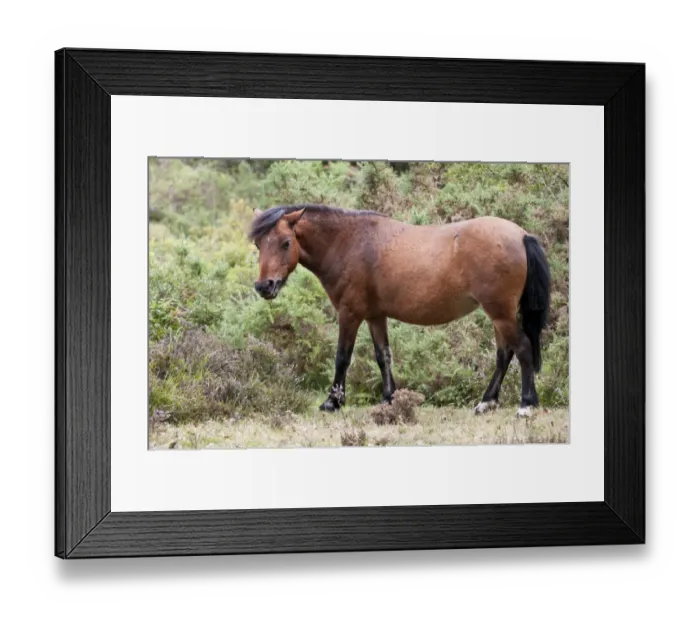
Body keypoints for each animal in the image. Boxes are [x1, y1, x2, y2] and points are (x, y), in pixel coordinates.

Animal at [249, 204, 551, 418]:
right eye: (258, 244)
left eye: (286, 242)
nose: (264, 286)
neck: (349, 242)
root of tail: (521, 235)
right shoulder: (375, 316)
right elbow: (383, 356)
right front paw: (389, 399)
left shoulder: (349, 314)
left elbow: (342, 358)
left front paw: (332, 402)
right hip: (499, 315)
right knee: (504, 354)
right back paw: (487, 402)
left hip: (500, 313)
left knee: (522, 348)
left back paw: (526, 405)